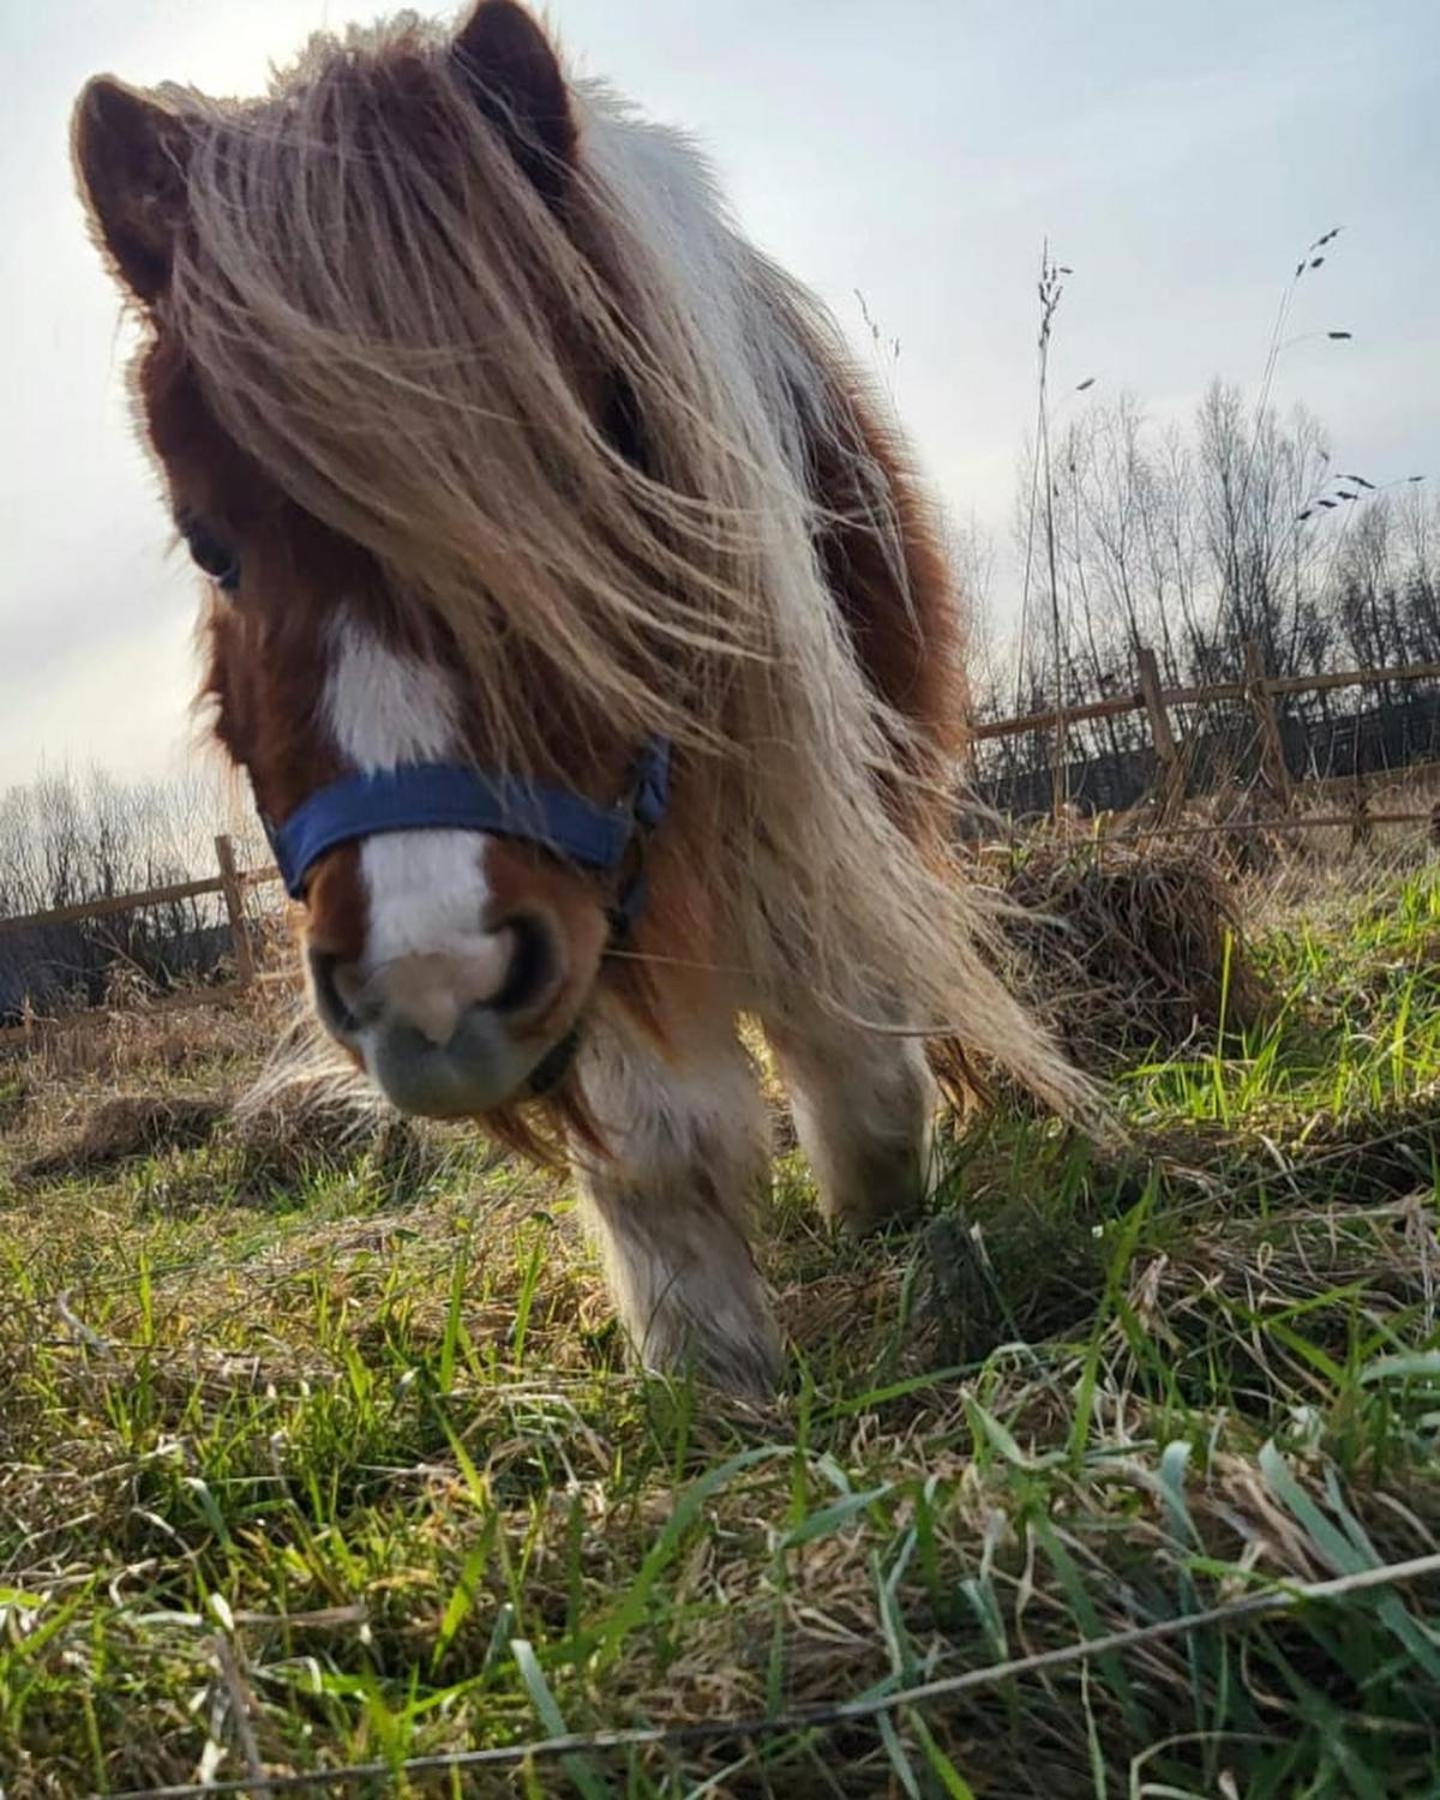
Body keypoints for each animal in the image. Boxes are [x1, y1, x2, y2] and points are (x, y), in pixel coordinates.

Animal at [72, 0, 1087, 1389]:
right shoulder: (580, 904)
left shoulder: (796, 802)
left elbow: (849, 1035)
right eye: (208, 542)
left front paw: (881, 1196)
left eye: (590, 493)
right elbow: (655, 1139)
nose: (429, 986)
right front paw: (707, 1367)